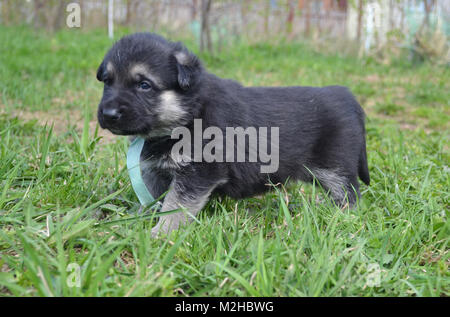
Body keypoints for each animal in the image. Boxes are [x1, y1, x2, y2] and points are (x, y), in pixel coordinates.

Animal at [95, 33, 370, 236]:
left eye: (144, 85)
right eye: (108, 82)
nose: (108, 113)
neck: (189, 113)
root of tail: (346, 96)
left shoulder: (198, 172)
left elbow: (176, 205)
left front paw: (161, 233)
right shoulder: (154, 172)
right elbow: (153, 199)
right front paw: (135, 220)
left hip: (334, 168)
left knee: (348, 194)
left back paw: (340, 217)